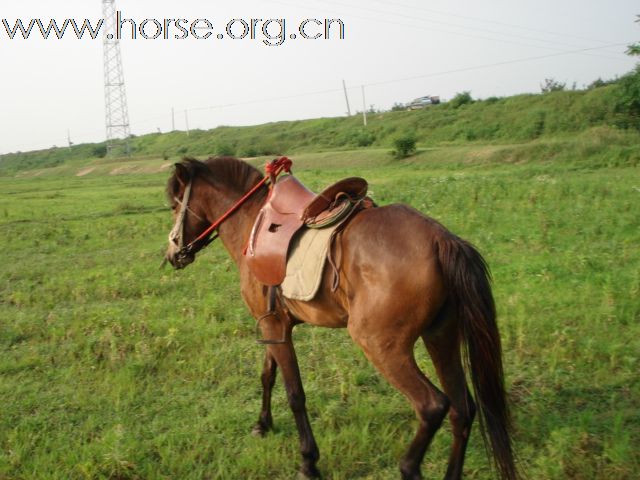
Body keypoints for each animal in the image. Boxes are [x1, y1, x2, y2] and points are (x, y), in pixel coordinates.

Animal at [162, 158, 516, 480]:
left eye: (175, 204)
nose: (173, 255)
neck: (253, 224)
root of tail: (442, 239)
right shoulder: (272, 323)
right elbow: (267, 375)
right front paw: (262, 424)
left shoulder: (274, 325)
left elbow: (295, 394)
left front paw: (308, 461)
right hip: (441, 336)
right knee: (462, 409)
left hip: (381, 345)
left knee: (433, 406)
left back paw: (408, 466)